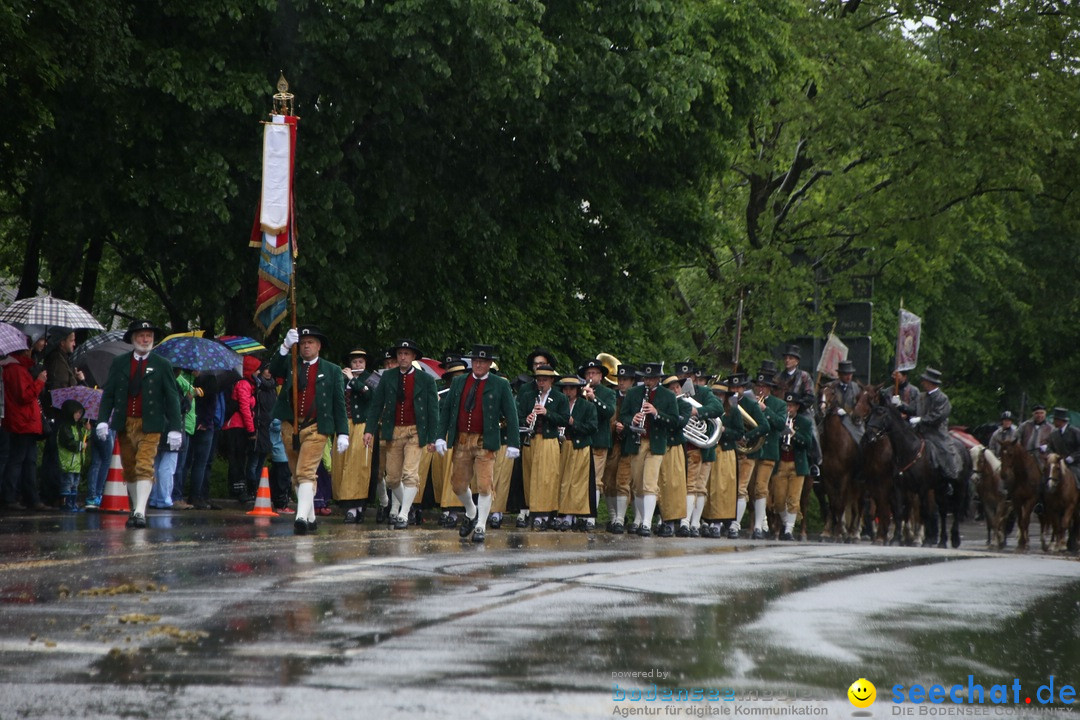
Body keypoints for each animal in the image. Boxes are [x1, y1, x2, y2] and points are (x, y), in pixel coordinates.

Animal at [812, 386, 864, 544]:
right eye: (820, 393)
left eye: (832, 393)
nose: (822, 409)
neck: (834, 444)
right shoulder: (828, 478)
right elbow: (834, 504)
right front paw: (833, 532)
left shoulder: (844, 478)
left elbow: (840, 504)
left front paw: (839, 533)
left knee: (859, 506)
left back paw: (854, 534)